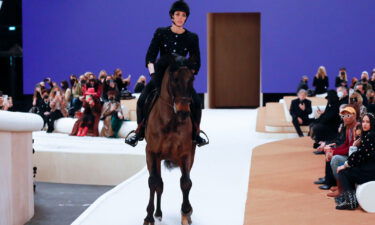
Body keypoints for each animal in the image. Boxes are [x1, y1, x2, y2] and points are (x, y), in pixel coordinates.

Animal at [143, 55, 197, 225]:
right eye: (174, 79)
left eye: (192, 78)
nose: (183, 112)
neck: (170, 122)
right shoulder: (152, 153)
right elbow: (153, 183)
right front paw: (148, 217)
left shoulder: (186, 154)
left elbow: (186, 182)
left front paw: (186, 212)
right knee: (158, 184)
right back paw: (158, 213)